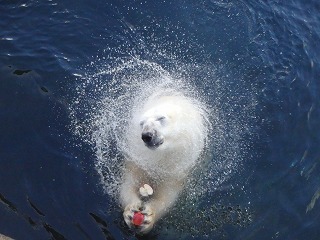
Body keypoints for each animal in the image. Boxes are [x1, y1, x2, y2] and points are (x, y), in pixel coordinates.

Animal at [120, 91, 208, 233]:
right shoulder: (138, 159)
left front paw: (148, 217)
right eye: (141, 123)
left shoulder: (177, 167)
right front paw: (130, 211)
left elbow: (167, 194)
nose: (147, 135)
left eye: (161, 118)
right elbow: (129, 182)